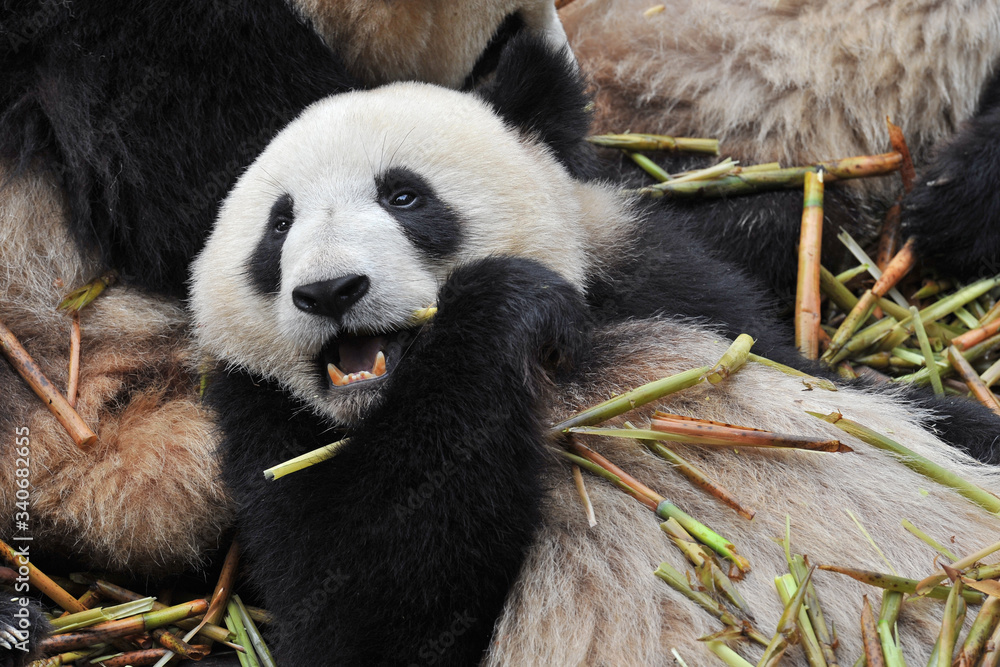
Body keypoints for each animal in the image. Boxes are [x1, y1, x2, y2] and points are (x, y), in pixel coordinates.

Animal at [189, 35, 1000, 665]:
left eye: (404, 196)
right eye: (278, 225)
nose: (330, 290)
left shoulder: (671, 290)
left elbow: (824, 378)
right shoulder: (272, 433)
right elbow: (360, 611)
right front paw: (503, 305)